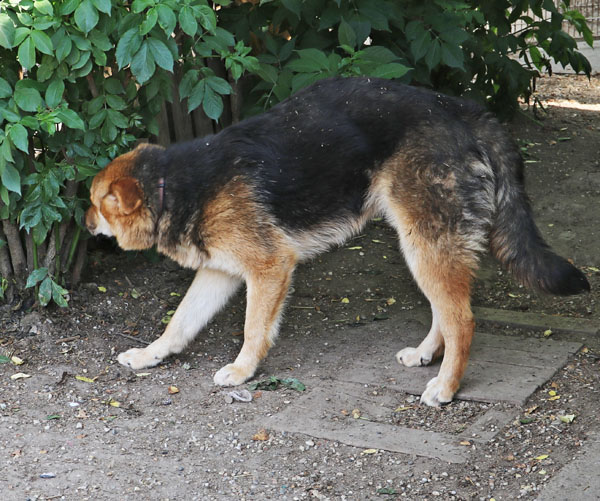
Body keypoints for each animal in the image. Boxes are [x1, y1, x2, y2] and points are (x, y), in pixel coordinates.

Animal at [86, 76, 588, 404]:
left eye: (94, 203)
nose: (86, 226)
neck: (175, 185)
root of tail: (459, 108)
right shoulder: (218, 273)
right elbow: (178, 324)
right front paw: (149, 356)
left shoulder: (268, 269)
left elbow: (252, 329)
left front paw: (244, 371)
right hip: (420, 248)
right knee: (446, 314)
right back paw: (427, 355)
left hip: (425, 247)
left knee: (462, 320)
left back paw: (446, 387)